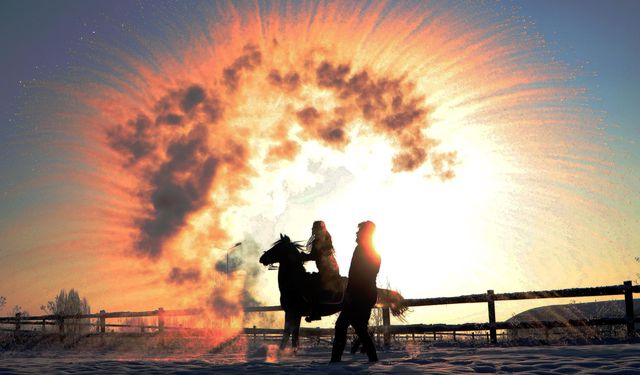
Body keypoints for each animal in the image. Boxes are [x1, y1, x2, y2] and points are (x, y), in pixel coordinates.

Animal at [258, 234, 404, 354]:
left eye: (277, 247)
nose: (262, 258)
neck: (296, 282)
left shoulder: (293, 312)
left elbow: (289, 333)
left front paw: (284, 352)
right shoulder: (293, 313)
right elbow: (292, 333)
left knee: (366, 330)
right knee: (366, 329)